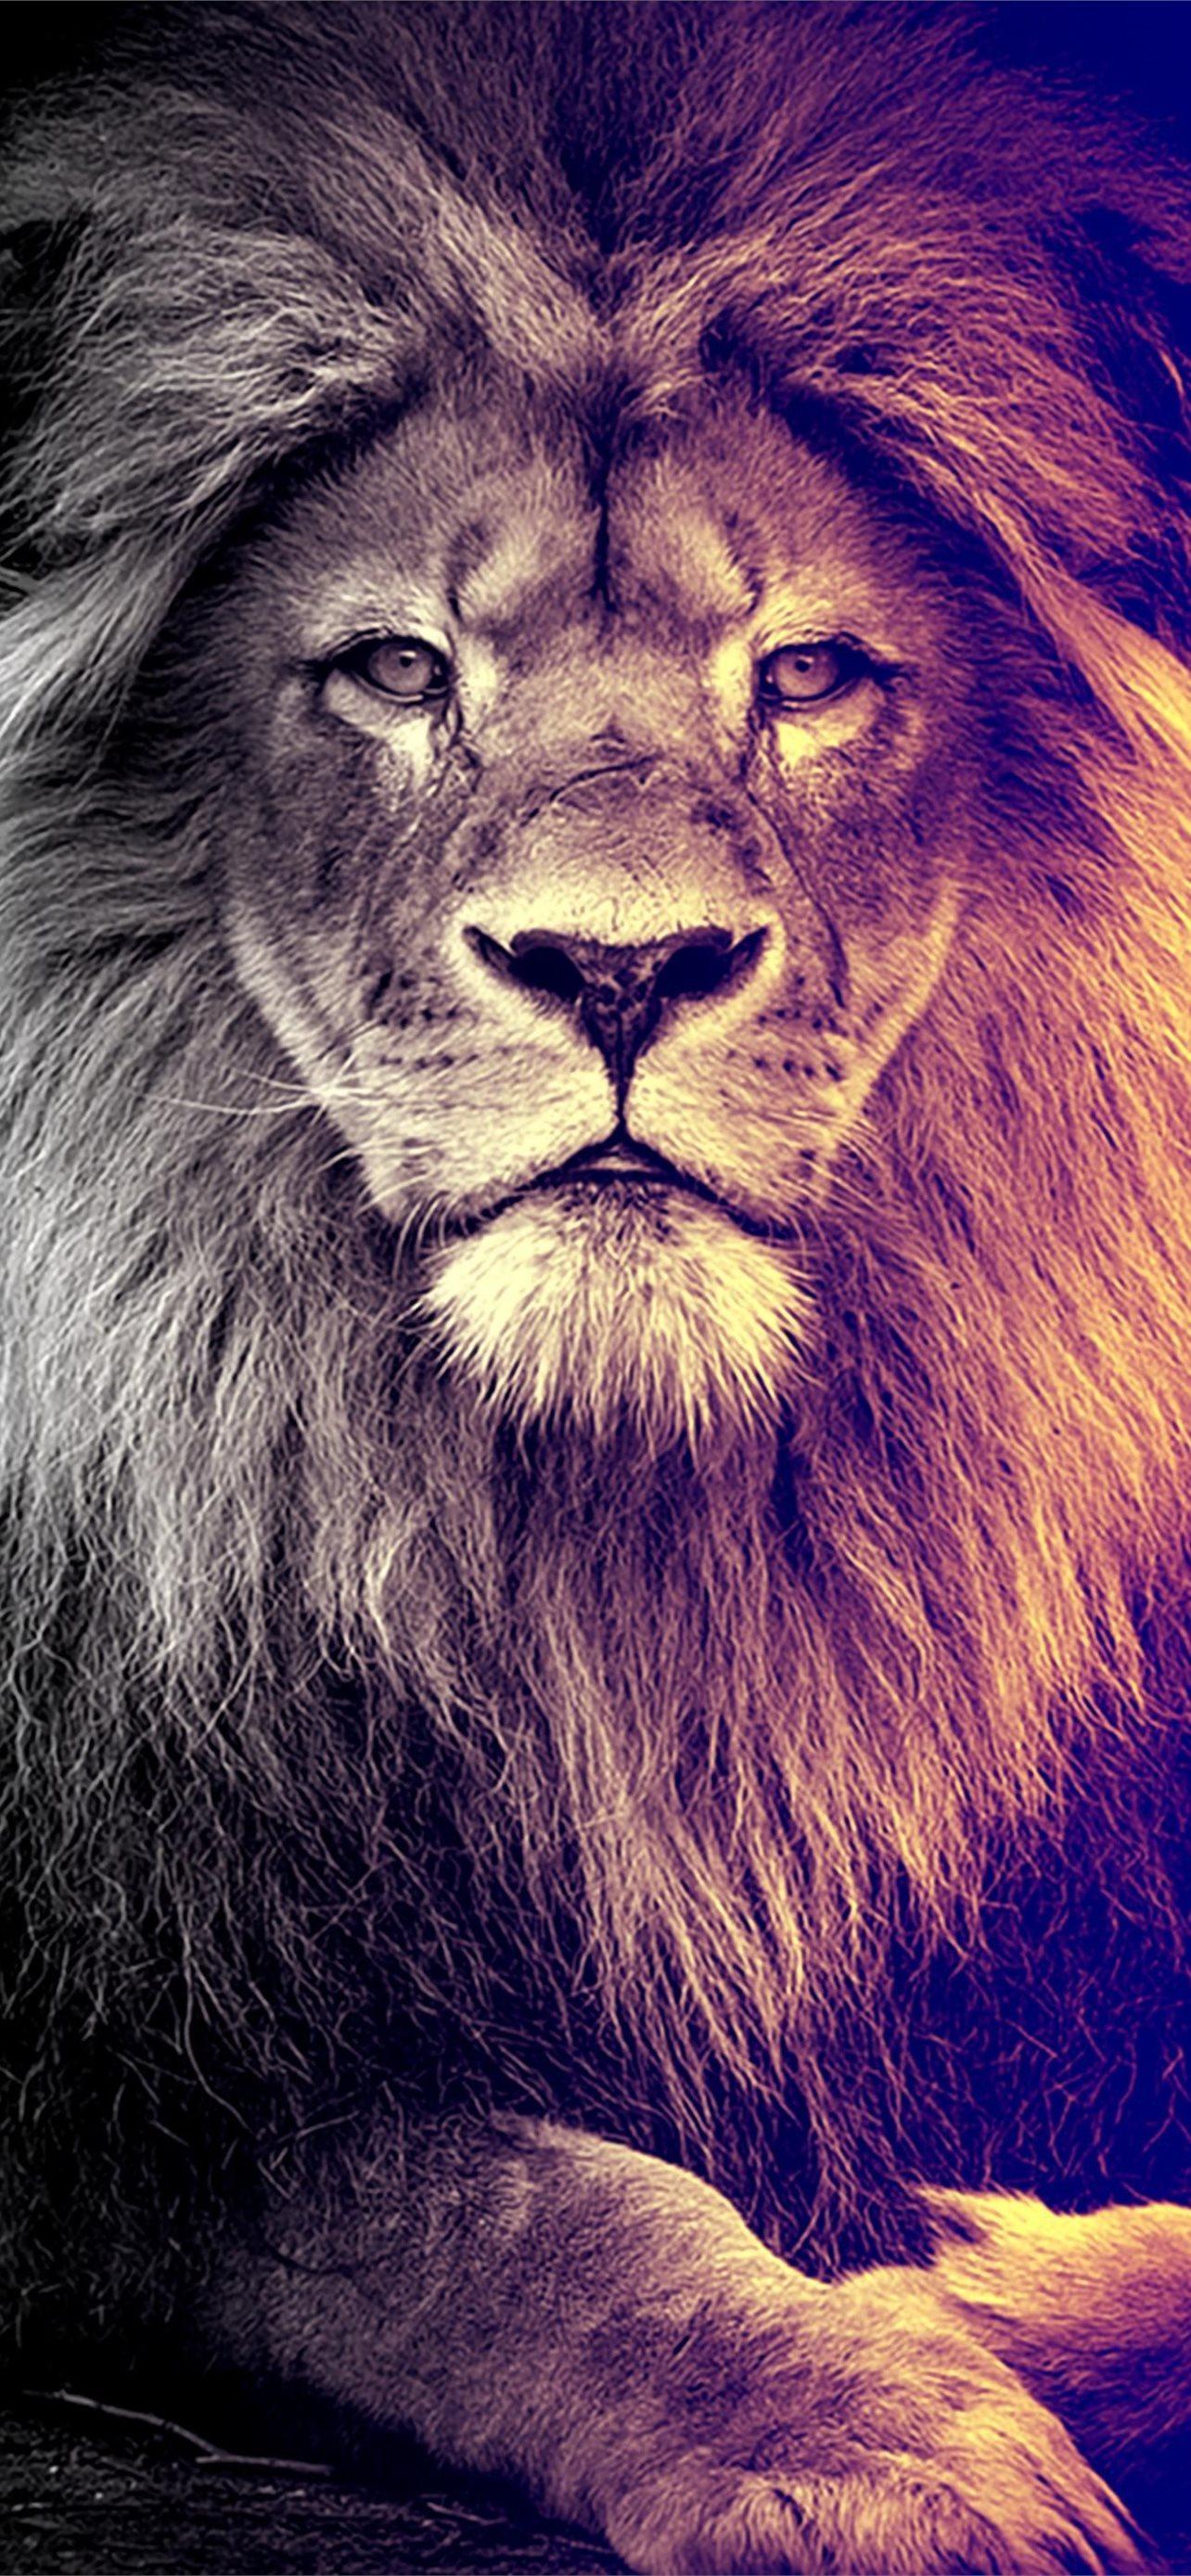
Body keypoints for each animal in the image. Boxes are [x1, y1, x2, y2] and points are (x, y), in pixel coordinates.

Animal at [3, 3, 1191, 2568]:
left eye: (814, 674)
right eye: (391, 670)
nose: (620, 965)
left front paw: (979, 2301)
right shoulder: (140, 2071)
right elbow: (491, 2200)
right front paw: (863, 2422)